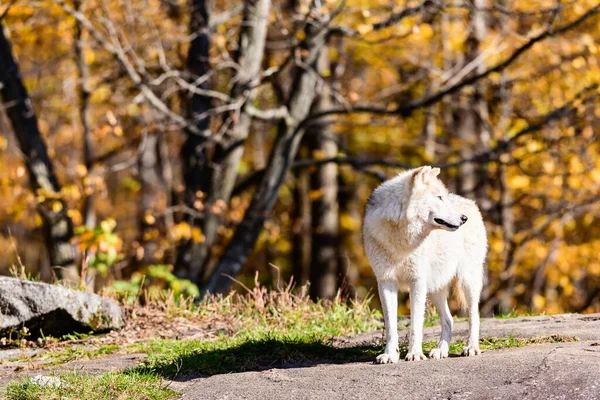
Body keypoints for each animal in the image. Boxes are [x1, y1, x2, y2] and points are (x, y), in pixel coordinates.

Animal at [360, 166, 488, 362]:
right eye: (439, 197)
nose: (463, 218)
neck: (403, 240)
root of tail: (470, 203)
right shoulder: (385, 282)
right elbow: (390, 326)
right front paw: (390, 355)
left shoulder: (417, 282)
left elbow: (416, 324)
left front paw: (414, 353)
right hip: (435, 288)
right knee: (449, 320)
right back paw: (440, 351)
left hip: (467, 281)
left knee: (475, 315)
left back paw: (471, 348)